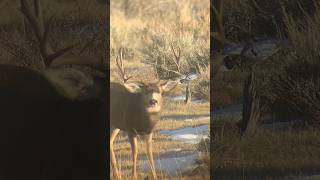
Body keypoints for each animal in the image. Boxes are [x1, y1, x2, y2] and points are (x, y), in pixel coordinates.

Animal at [110, 47, 179, 179]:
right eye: (145, 92)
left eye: (160, 92)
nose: (153, 101)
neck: (143, 122)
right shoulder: (130, 128)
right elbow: (135, 152)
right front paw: (133, 176)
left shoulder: (150, 131)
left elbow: (149, 152)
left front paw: (155, 176)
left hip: (115, 125)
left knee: (109, 142)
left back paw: (117, 174)